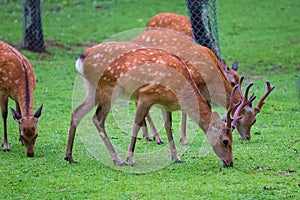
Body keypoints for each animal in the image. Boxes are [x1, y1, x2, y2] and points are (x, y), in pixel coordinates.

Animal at [131, 28, 274, 143]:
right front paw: (183, 139)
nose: (247, 137)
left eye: (254, 120)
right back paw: (156, 138)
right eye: (249, 119)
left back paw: (148, 136)